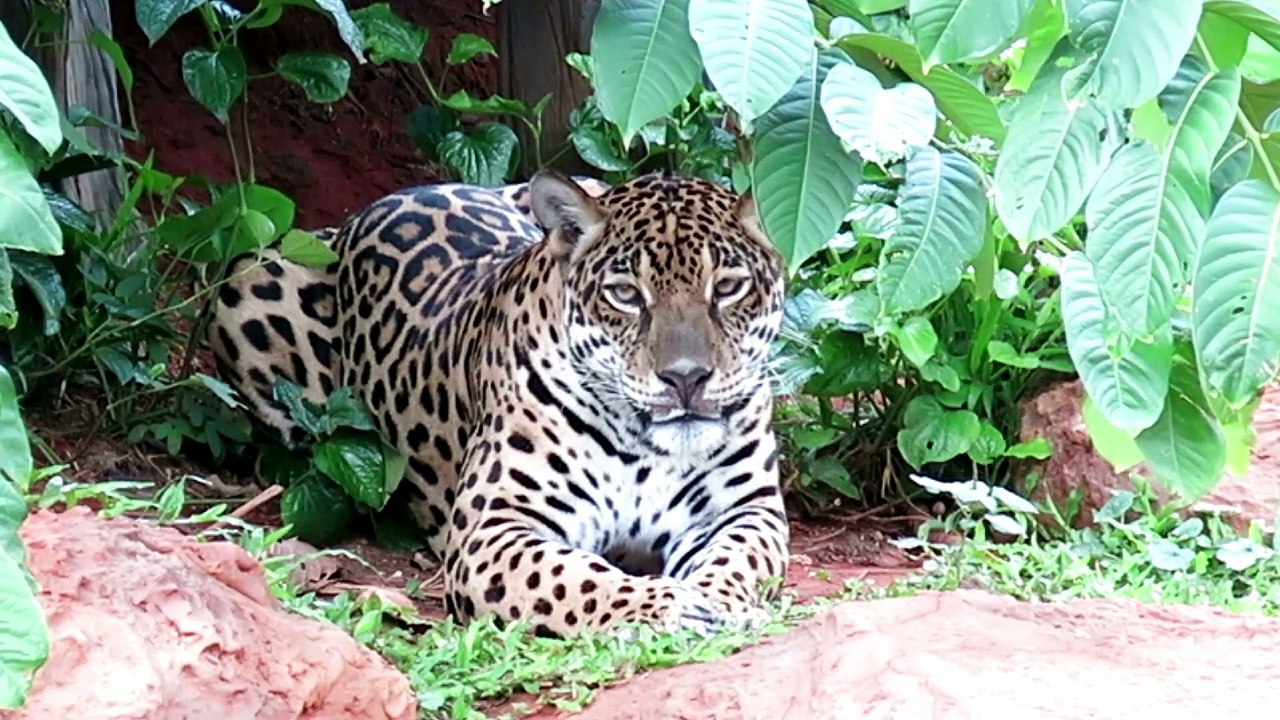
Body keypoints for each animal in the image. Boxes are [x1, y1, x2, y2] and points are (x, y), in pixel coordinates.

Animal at [209, 170, 790, 637]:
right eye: (625, 294)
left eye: (729, 287)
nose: (685, 378)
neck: (644, 444)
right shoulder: (493, 527)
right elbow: (579, 579)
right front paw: (675, 607)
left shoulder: (744, 510)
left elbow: (734, 561)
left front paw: (721, 603)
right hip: (251, 274)